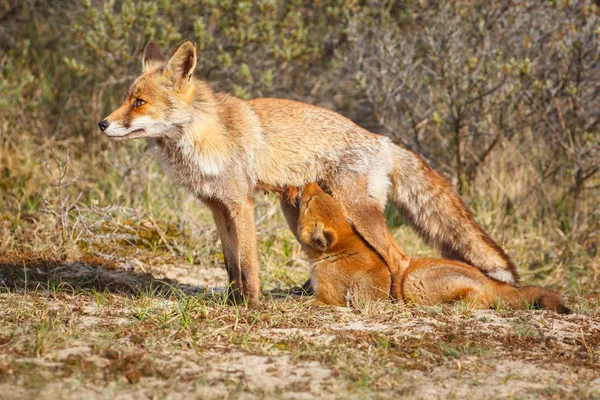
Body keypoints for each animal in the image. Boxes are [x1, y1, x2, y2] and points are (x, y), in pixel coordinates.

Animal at [99, 40, 520, 304]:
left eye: (139, 103)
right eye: (126, 99)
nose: (102, 124)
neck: (202, 136)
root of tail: (382, 139)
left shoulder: (241, 204)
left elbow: (249, 265)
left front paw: (251, 307)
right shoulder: (218, 207)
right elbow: (231, 265)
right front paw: (233, 302)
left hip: (356, 210)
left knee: (397, 258)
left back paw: (398, 301)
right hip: (303, 206)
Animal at [296, 183, 572, 314]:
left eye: (308, 202)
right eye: (321, 194)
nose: (309, 182)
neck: (339, 252)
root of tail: (489, 280)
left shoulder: (329, 298)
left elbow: (303, 302)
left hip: (414, 283)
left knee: (482, 301)